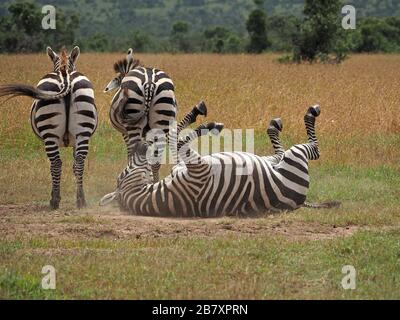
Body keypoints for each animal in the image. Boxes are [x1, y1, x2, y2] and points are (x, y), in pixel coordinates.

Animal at [0, 45, 97, 210]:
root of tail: (65, 78)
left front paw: (54, 196)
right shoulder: (75, 141)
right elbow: (74, 166)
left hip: (49, 132)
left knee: (56, 163)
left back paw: (55, 201)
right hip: (83, 131)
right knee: (79, 162)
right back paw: (81, 200)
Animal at [98, 105, 330, 218]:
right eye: (124, 173)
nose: (141, 145)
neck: (159, 193)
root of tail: (300, 202)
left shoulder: (183, 166)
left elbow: (177, 138)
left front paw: (200, 121)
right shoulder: (199, 170)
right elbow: (177, 141)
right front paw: (204, 122)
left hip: (274, 160)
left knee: (277, 154)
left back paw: (274, 125)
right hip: (295, 157)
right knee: (314, 150)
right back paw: (310, 113)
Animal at [104, 47, 187, 182]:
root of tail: (149, 81)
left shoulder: (125, 133)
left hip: (133, 124)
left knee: (135, 154)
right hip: (162, 120)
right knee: (156, 161)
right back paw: (154, 182)